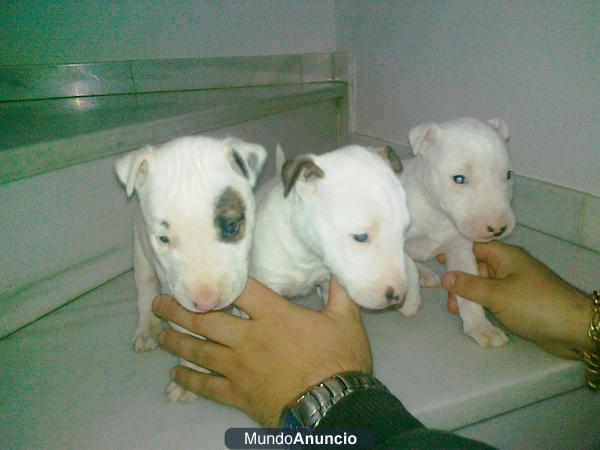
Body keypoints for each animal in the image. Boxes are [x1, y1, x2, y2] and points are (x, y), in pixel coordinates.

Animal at [116, 134, 266, 404]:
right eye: (163, 239)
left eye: (231, 227)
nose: (206, 303)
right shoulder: (176, 300)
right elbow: (189, 337)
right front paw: (187, 383)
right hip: (141, 255)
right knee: (145, 292)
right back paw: (147, 330)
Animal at [400, 117, 512, 348]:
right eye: (459, 179)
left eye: (508, 175)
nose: (498, 229)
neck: (438, 214)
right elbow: (408, 266)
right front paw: (411, 301)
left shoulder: (460, 250)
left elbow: (470, 294)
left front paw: (481, 327)